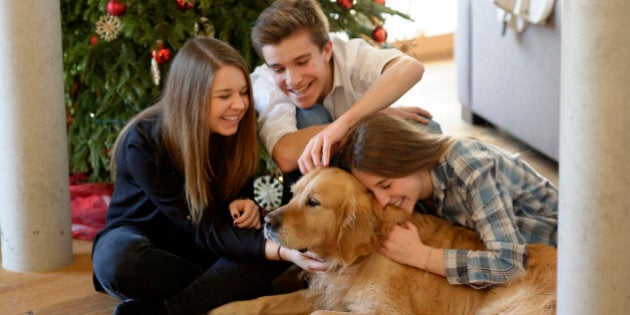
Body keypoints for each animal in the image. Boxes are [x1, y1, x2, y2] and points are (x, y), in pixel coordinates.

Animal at [210, 168, 556, 315]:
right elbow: (262, 301)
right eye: (293, 194)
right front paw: (224, 309)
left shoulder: (387, 310)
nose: (266, 222)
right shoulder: (324, 293)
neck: (361, 257)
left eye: (313, 202)